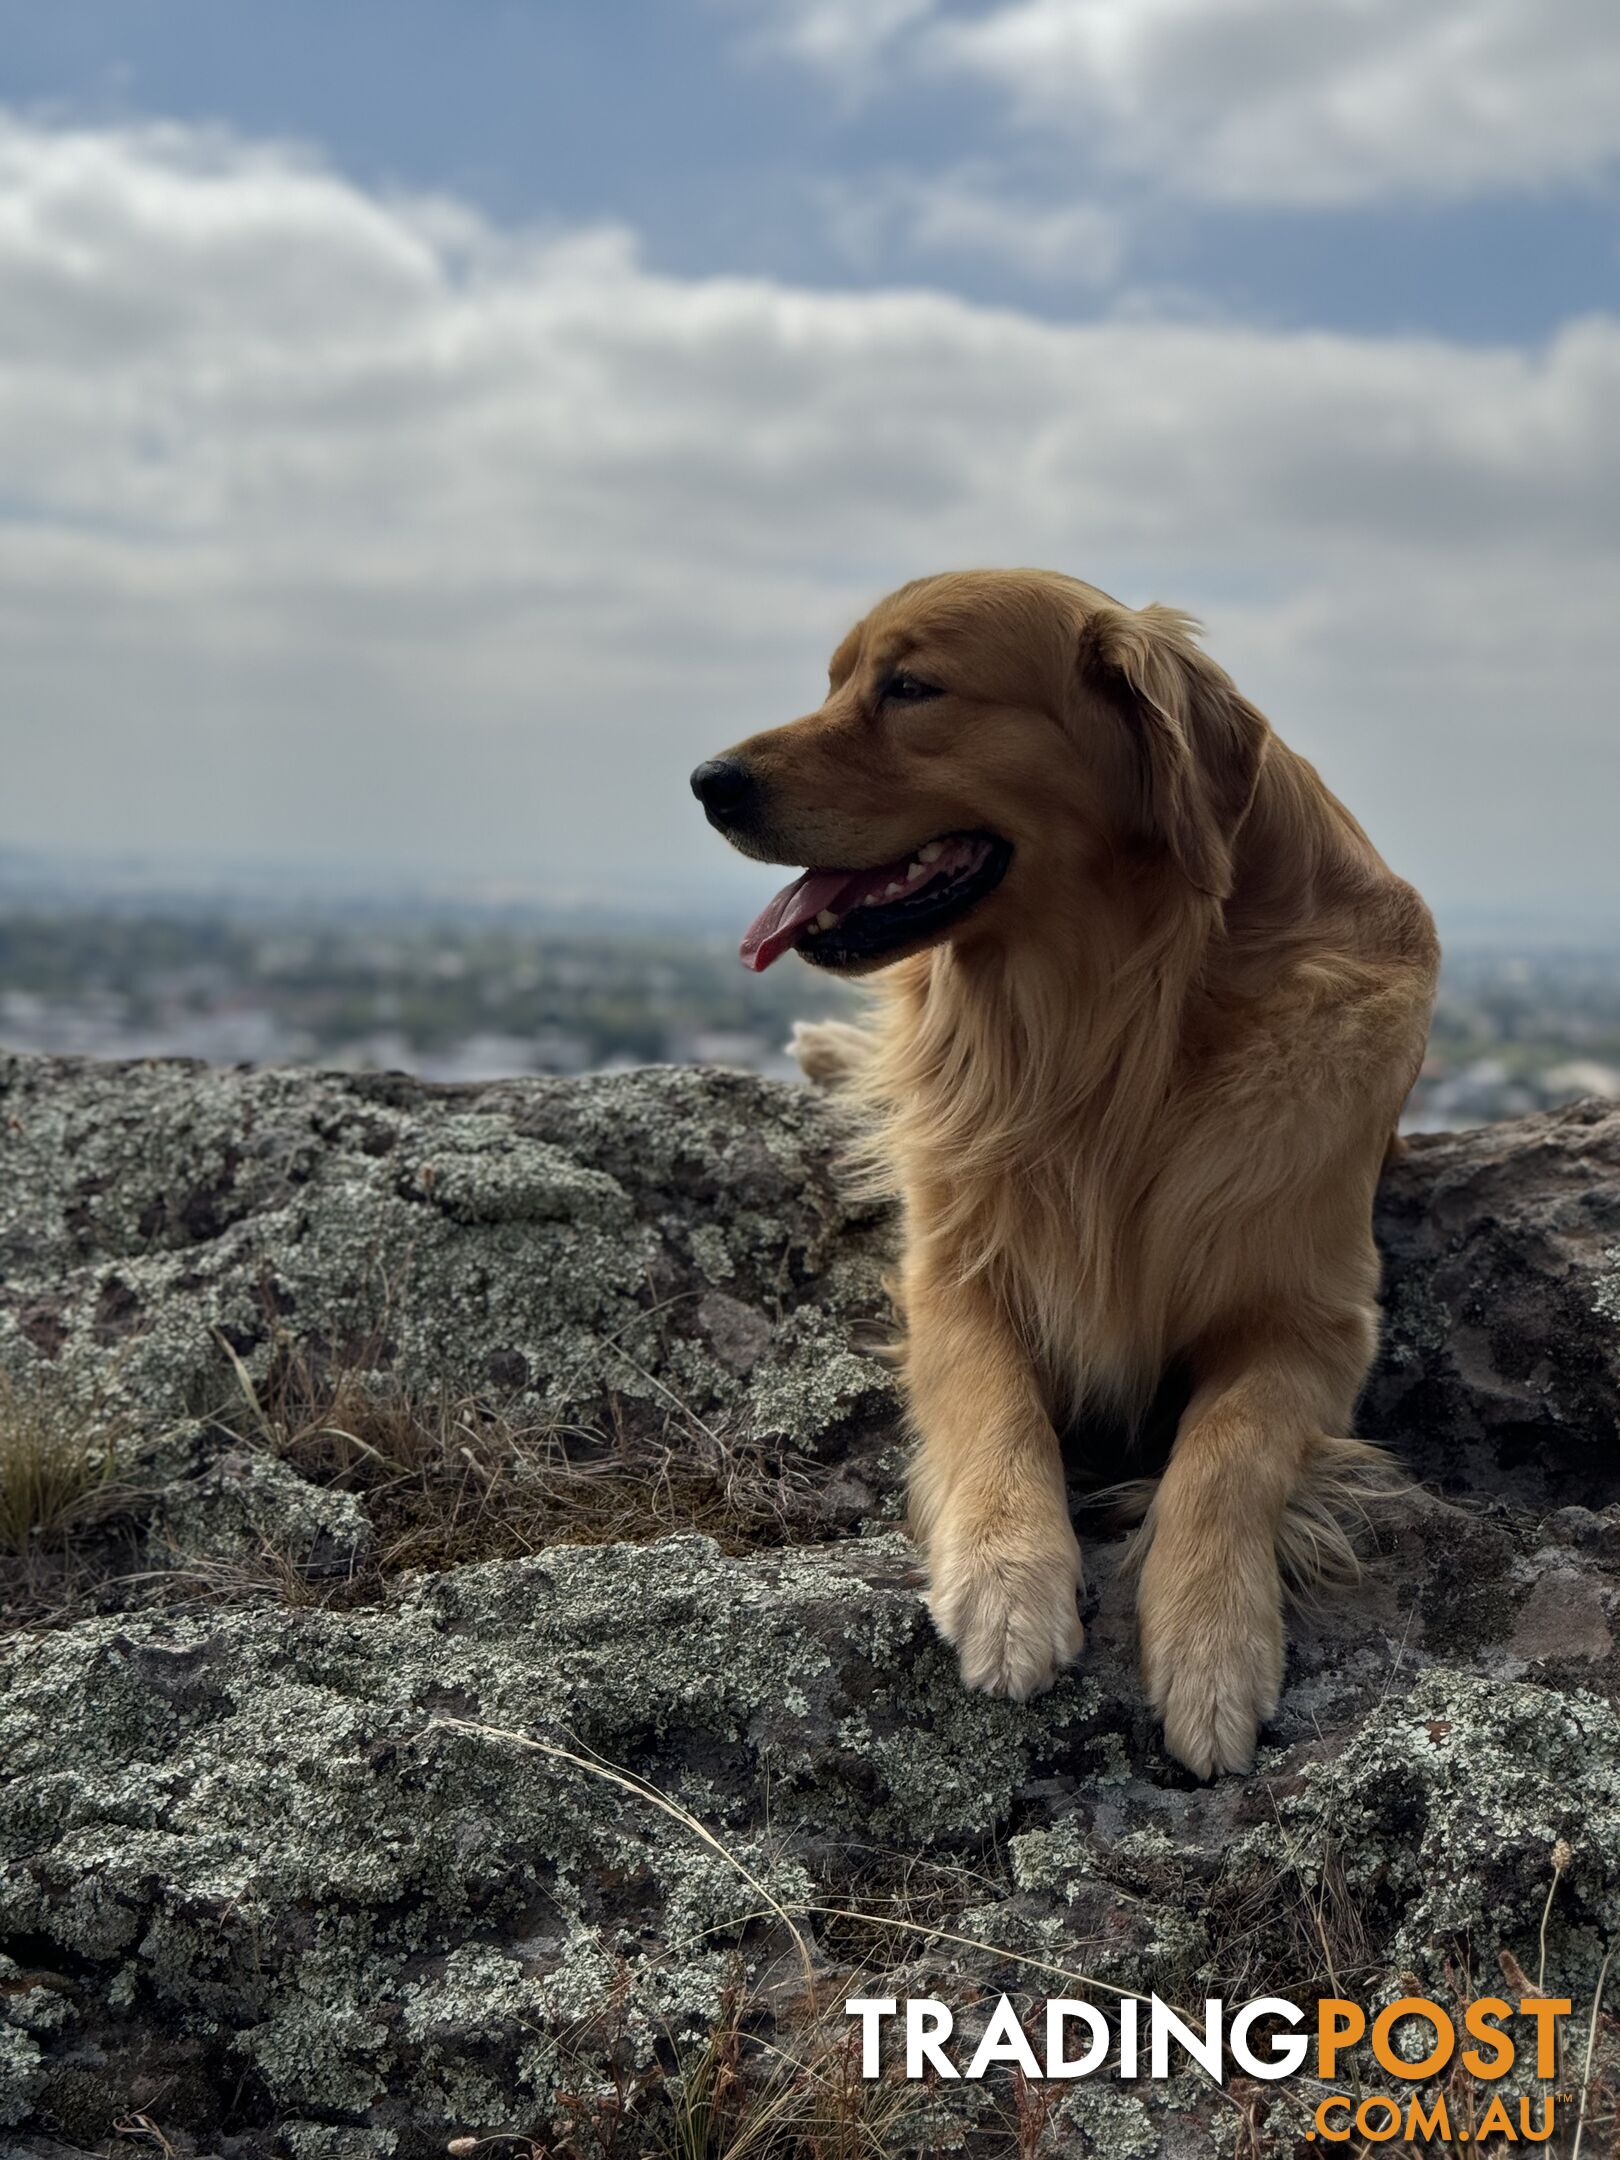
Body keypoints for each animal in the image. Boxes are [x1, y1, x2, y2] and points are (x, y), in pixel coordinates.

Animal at [691, 570, 1442, 1771]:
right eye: (838, 679)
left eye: (911, 687)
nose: (708, 781)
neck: (1112, 1031)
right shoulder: (953, 1269)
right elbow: (995, 1401)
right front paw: (1010, 1581)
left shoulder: (1315, 1320)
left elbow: (1229, 1448)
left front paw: (1213, 1643)